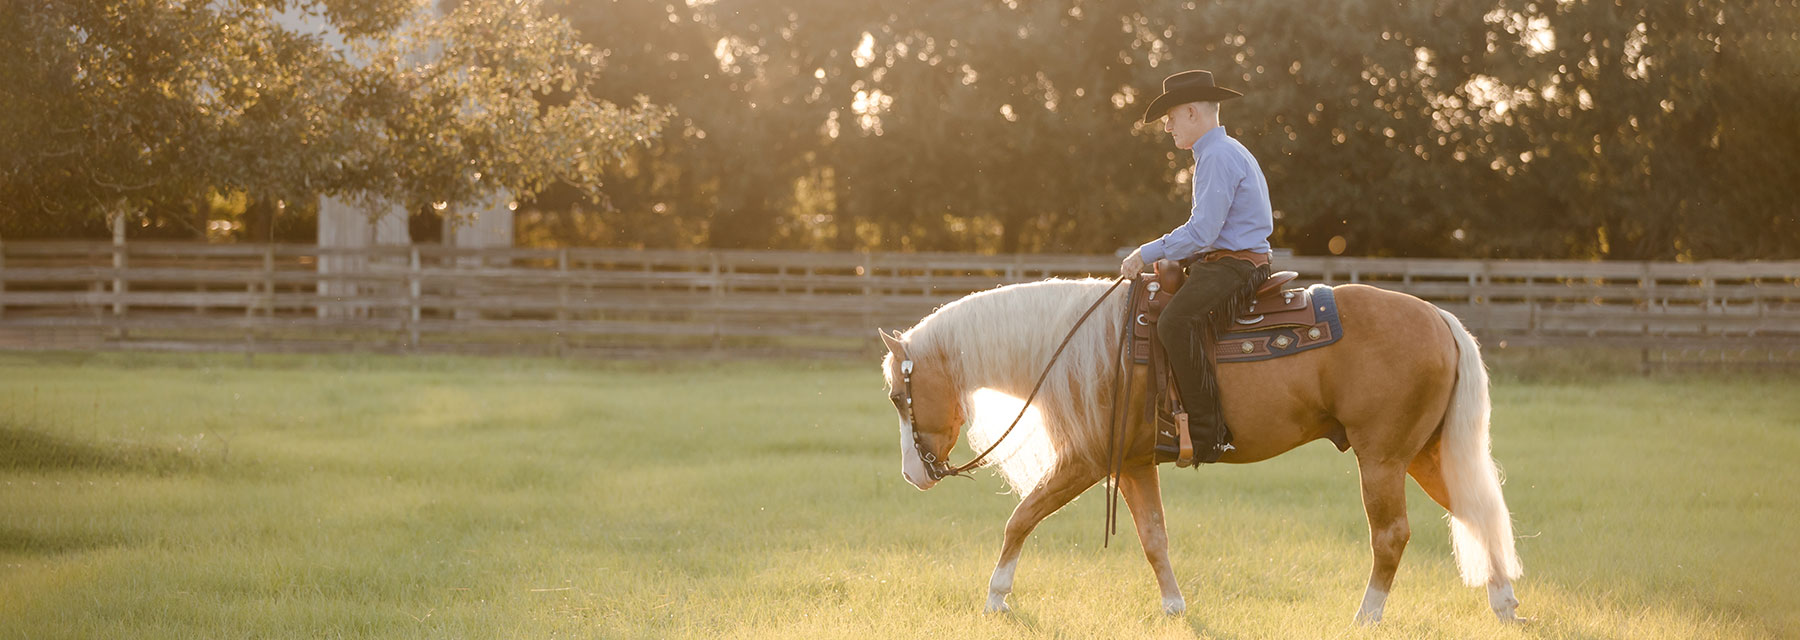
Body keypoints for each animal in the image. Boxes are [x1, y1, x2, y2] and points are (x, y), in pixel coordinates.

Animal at [878, 276, 1526, 622]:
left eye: (897, 396)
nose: (912, 475)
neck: (1085, 350)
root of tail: (1440, 318)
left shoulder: (1085, 462)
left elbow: (1020, 519)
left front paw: (995, 599)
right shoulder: (1133, 465)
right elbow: (1154, 538)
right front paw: (1174, 608)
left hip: (1383, 459)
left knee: (1391, 535)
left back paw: (1366, 616)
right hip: (1425, 455)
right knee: (1478, 510)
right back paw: (1504, 603)